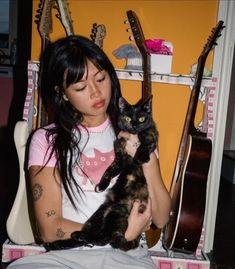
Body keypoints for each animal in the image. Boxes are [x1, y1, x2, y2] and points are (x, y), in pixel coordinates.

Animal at [44, 95, 158, 250]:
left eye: (141, 118)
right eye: (128, 118)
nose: (134, 126)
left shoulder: (152, 133)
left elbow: (146, 139)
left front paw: (142, 155)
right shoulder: (119, 157)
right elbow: (109, 171)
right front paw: (102, 185)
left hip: (116, 215)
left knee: (104, 238)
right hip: (98, 215)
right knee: (98, 236)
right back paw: (64, 241)